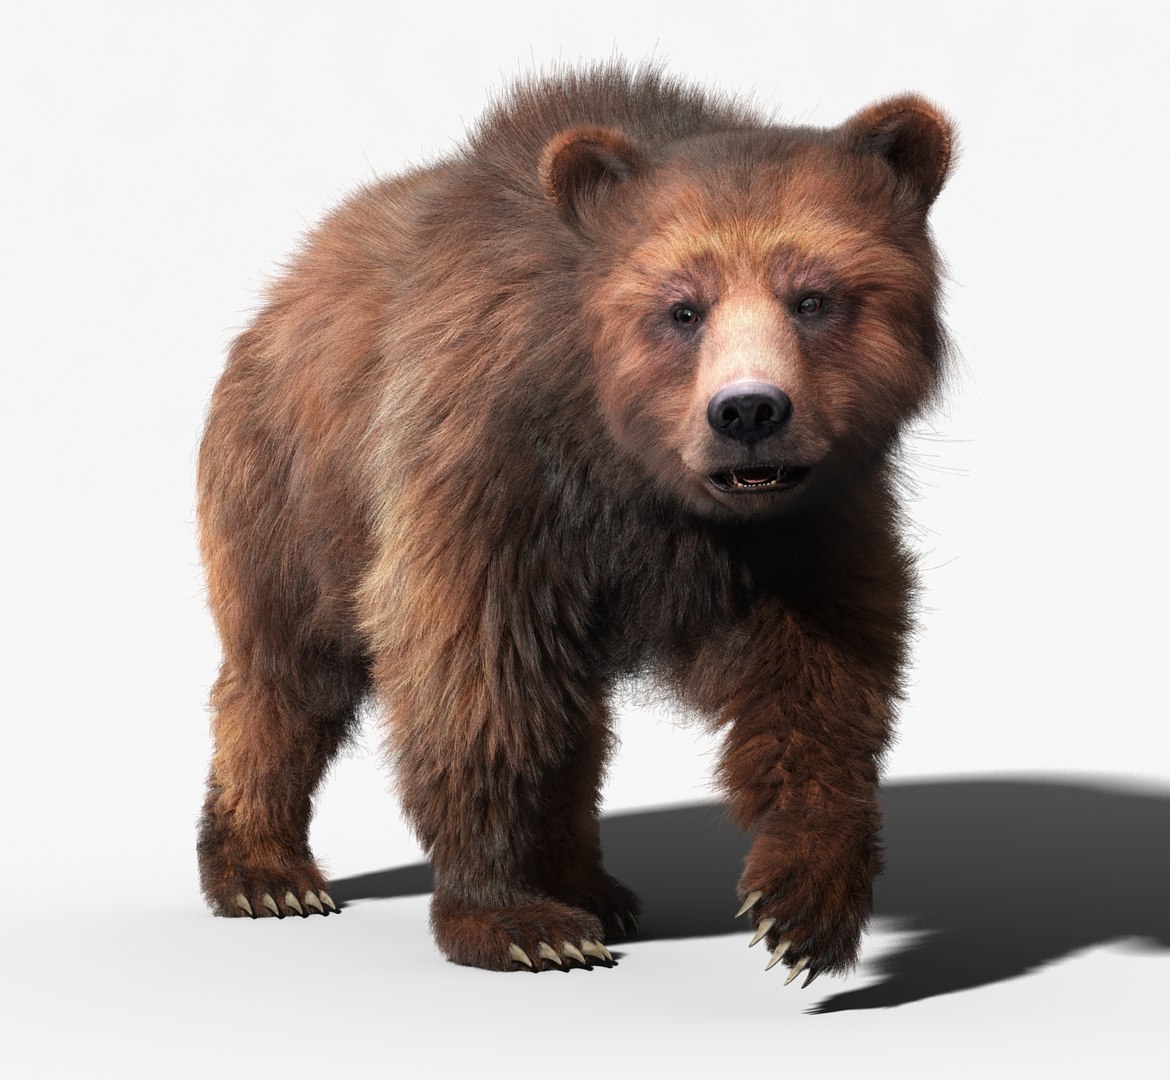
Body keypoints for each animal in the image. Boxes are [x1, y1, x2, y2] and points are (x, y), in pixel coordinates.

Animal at [196, 63, 955, 985]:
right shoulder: (491, 478)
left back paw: (591, 883)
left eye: (813, 297)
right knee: (288, 673)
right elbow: (474, 675)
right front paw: (515, 917)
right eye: (682, 308)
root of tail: (282, 289)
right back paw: (266, 873)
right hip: (292, 487)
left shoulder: (809, 525)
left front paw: (803, 903)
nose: (748, 411)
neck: (636, 480)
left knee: (573, 721)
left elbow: (821, 673)